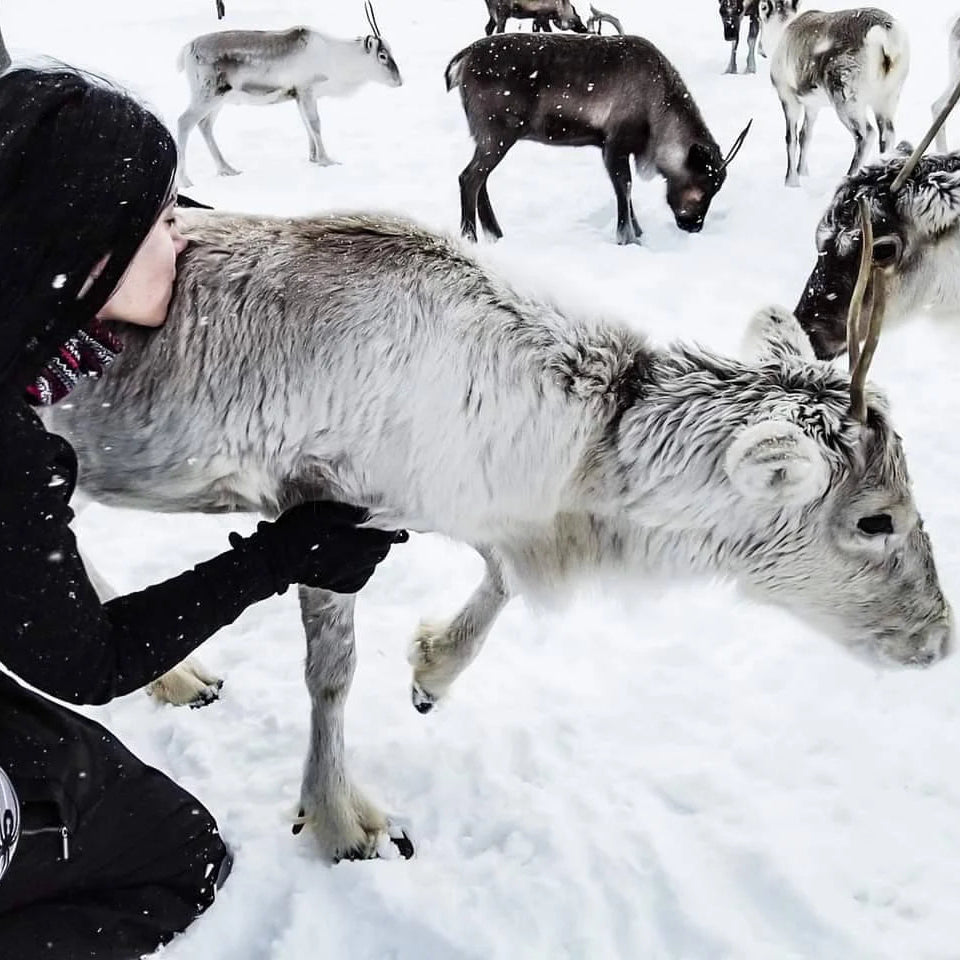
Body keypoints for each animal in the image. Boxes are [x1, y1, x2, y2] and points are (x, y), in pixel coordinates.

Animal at [175, 2, 401, 187]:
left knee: (205, 125)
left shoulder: (299, 96)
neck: (335, 57)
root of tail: (187, 48)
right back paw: (186, 181)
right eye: (382, 55)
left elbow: (307, 125)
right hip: (207, 94)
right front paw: (327, 160)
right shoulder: (307, 89)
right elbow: (315, 124)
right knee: (184, 122)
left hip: (219, 99)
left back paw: (227, 169)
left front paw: (313, 158)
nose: (399, 81)